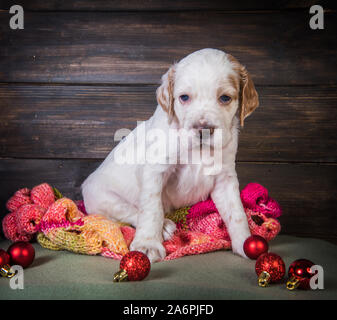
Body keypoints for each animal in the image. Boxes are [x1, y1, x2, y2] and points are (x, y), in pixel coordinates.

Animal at [81, 48, 258, 262]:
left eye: (225, 98)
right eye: (184, 97)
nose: (203, 129)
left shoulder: (225, 177)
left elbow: (237, 212)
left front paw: (245, 242)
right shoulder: (156, 170)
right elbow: (151, 209)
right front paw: (148, 244)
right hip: (102, 197)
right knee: (129, 212)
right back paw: (164, 226)